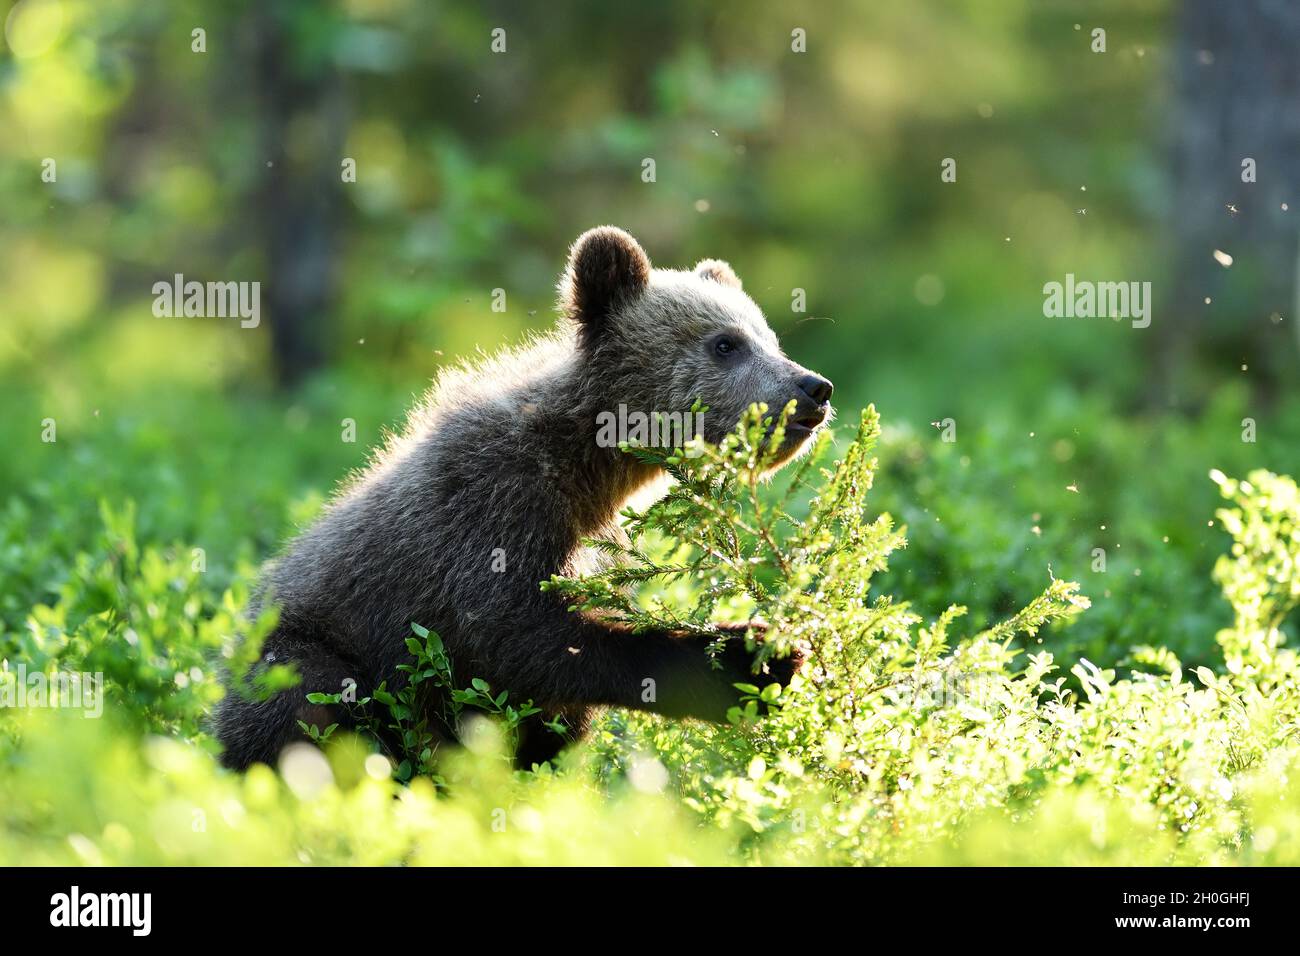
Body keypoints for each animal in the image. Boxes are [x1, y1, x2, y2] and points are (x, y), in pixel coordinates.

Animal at [214, 226, 834, 770]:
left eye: (770, 338)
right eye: (725, 343)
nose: (814, 388)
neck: (586, 470)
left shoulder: (591, 540)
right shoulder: (488, 505)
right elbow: (518, 635)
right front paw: (751, 657)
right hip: (299, 652)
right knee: (311, 703)